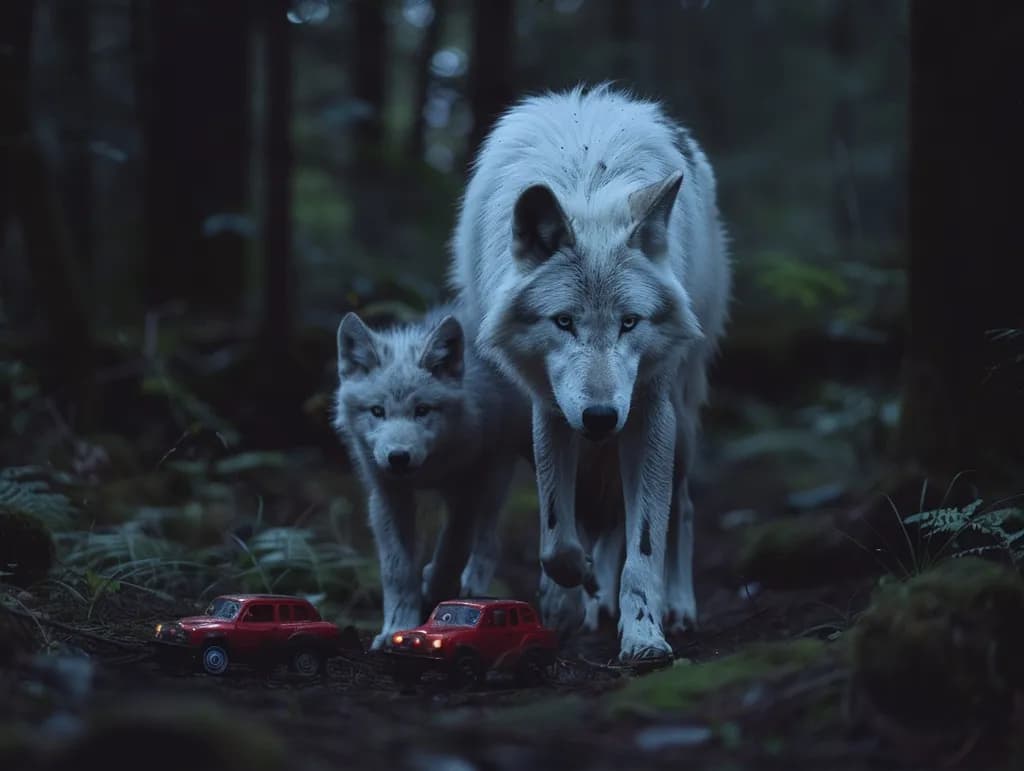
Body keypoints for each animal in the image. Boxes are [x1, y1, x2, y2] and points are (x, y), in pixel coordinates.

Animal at [333, 305, 531, 650]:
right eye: (377, 411)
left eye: (422, 410)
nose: (398, 457)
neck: (430, 470)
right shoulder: (388, 498)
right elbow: (397, 571)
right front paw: (396, 627)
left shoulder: (465, 494)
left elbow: (451, 550)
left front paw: (436, 594)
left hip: (497, 472)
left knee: (489, 538)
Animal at [448, 84, 731, 662]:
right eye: (563, 321)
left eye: (629, 322)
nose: (601, 417)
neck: (587, 179)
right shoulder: (551, 409)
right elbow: (559, 533)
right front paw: (565, 594)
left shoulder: (647, 410)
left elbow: (645, 542)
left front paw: (643, 634)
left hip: (682, 420)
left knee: (684, 509)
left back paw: (678, 606)